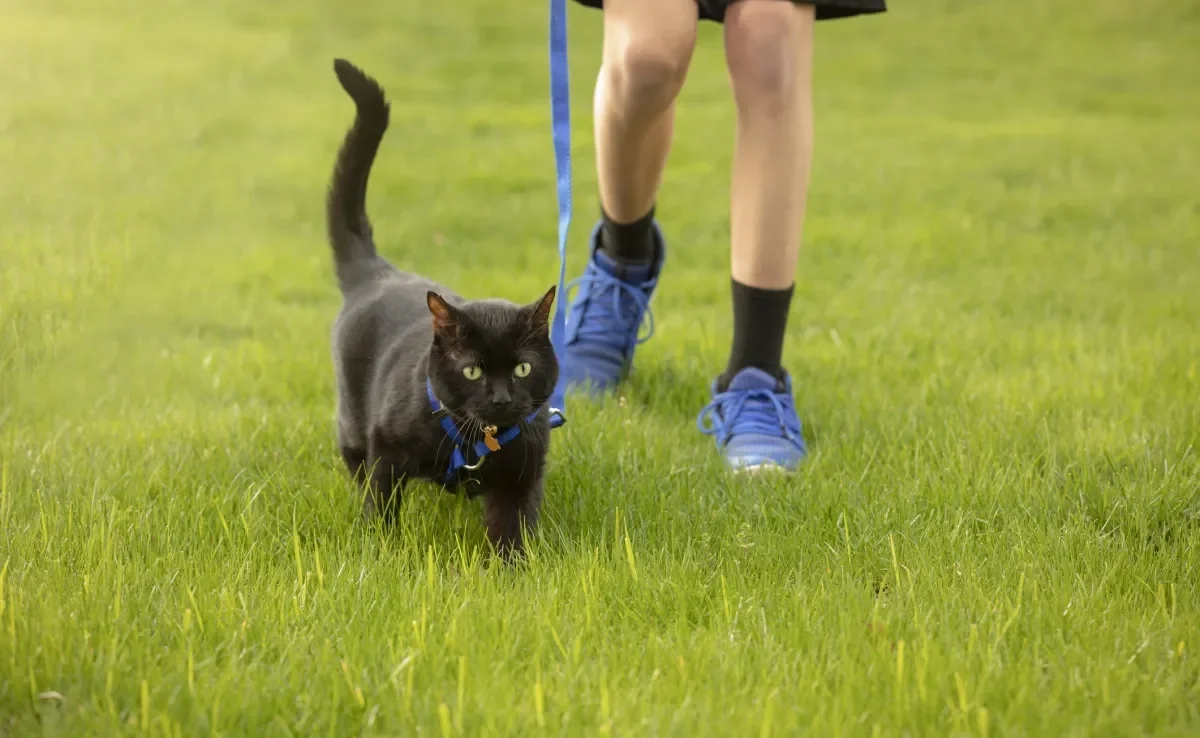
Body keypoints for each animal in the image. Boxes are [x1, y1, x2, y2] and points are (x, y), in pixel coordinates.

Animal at [326, 57, 564, 556]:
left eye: (523, 369)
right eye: (472, 370)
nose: (501, 398)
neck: (478, 445)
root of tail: (379, 271)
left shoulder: (522, 476)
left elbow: (511, 531)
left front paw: (510, 569)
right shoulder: (387, 454)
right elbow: (381, 509)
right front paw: (381, 553)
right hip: (353, 426)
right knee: (356, 465)